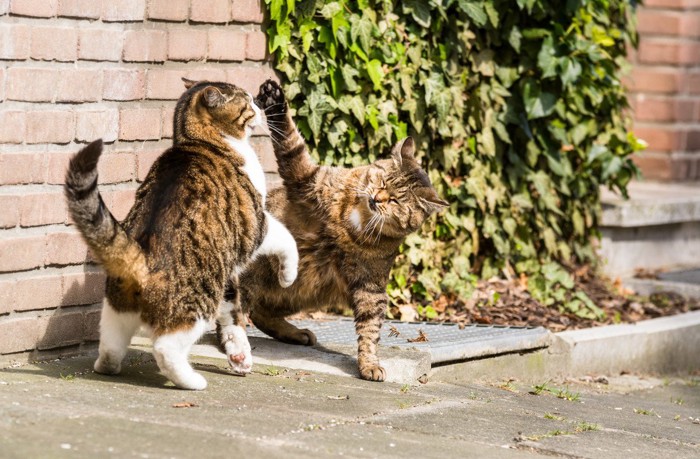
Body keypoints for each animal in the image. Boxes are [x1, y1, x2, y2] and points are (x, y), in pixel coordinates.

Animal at [67, 79, 302, 392]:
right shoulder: (255, 224)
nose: (259, 104)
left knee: (110, 341)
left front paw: (239, 354)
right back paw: (192, 381)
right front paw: (288, 275)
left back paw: (108, 366)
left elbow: (232, 309)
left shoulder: (227, 266)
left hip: (117, 307)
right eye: (247, 101)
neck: (201, 140)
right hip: (199, 304)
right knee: (166, 347)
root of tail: (140, 258)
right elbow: (286, 238)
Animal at [239, 81, 448, 382]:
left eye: (397, 200)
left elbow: (370, 328)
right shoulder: (306, 178)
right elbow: (291, 141)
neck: (352, 223)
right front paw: (274, 99)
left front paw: (369, 364)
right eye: (382, 181)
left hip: (298, 289)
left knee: (258, 311)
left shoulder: (370, 285)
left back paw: (296, 333)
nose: (378, 198)